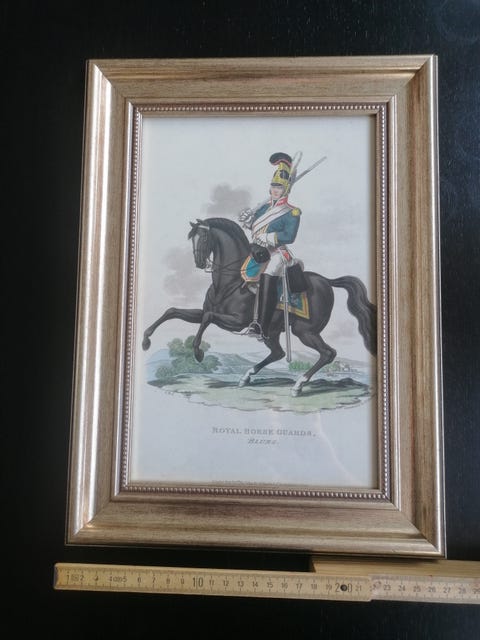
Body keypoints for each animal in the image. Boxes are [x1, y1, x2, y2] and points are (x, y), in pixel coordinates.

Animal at [142, 217, 377, 396]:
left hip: (305, 331)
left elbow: (207, 317)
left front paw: (198, 351)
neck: (229, 281)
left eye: (205, 237)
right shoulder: (208, 312)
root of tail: (327, 281)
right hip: (273, 331)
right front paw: (146, 340)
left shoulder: (236, 321)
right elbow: (174, 311)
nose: (199, 262)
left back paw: (298, 385)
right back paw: (247, 377)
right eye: (193, 237)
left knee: (328, 353)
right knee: (279, 353)